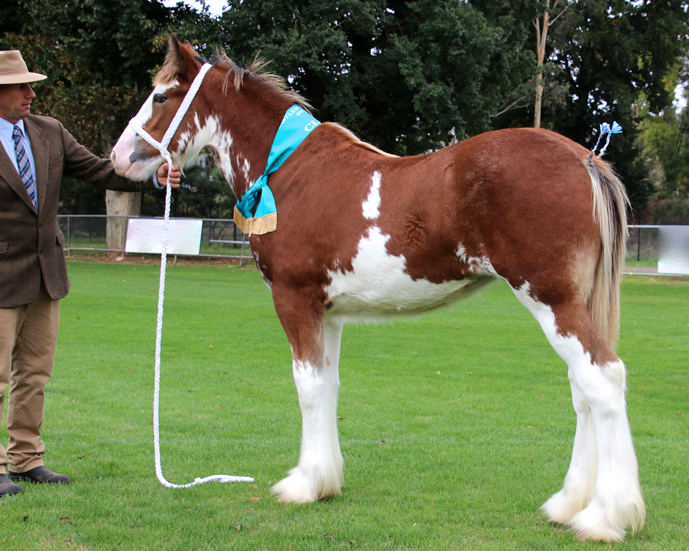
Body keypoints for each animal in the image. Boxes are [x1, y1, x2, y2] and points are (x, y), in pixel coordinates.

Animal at [111, 35, 645, 542]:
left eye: (160, 95)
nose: (118, 157)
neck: (289, 172)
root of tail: (585, 160)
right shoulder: (327, 312)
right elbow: (328, 386)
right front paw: (324, 481)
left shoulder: (294, 299)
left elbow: (307, 387)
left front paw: (302, 486)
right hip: (573, 304)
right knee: (582, 390)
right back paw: (566, 505)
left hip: (551, 301)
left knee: (603, 380)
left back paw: (603, 517)